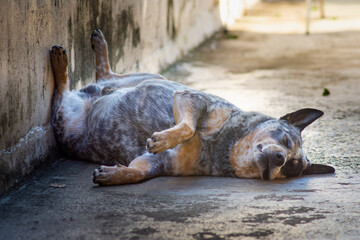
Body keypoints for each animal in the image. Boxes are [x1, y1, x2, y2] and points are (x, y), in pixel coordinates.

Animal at [50, 29, 334, 186]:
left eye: (292, 167)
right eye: (285, 140)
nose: (280, 159)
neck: (223, 148)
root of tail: (92, 94)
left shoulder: (160, 163)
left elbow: (139, 171)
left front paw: (114, 175)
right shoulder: (191, 97)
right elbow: (187, 126)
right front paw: (163, 139)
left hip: (67, 119)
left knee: (78, 88)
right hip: (154, 78)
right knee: (77, 84)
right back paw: (67, 59)